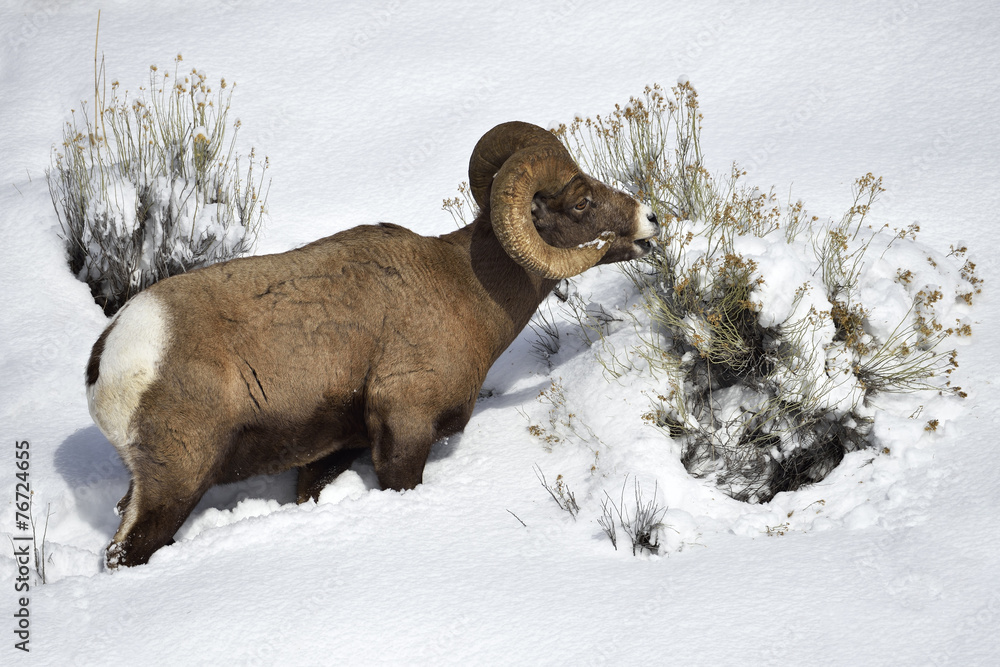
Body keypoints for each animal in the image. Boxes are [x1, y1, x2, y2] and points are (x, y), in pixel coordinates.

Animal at [86, 121, 659, 568]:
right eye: (582, 202)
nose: (650, 220)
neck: (467, 289)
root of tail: (108, 360)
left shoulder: (333, 451)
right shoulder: (404, 427)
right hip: (175, 486)